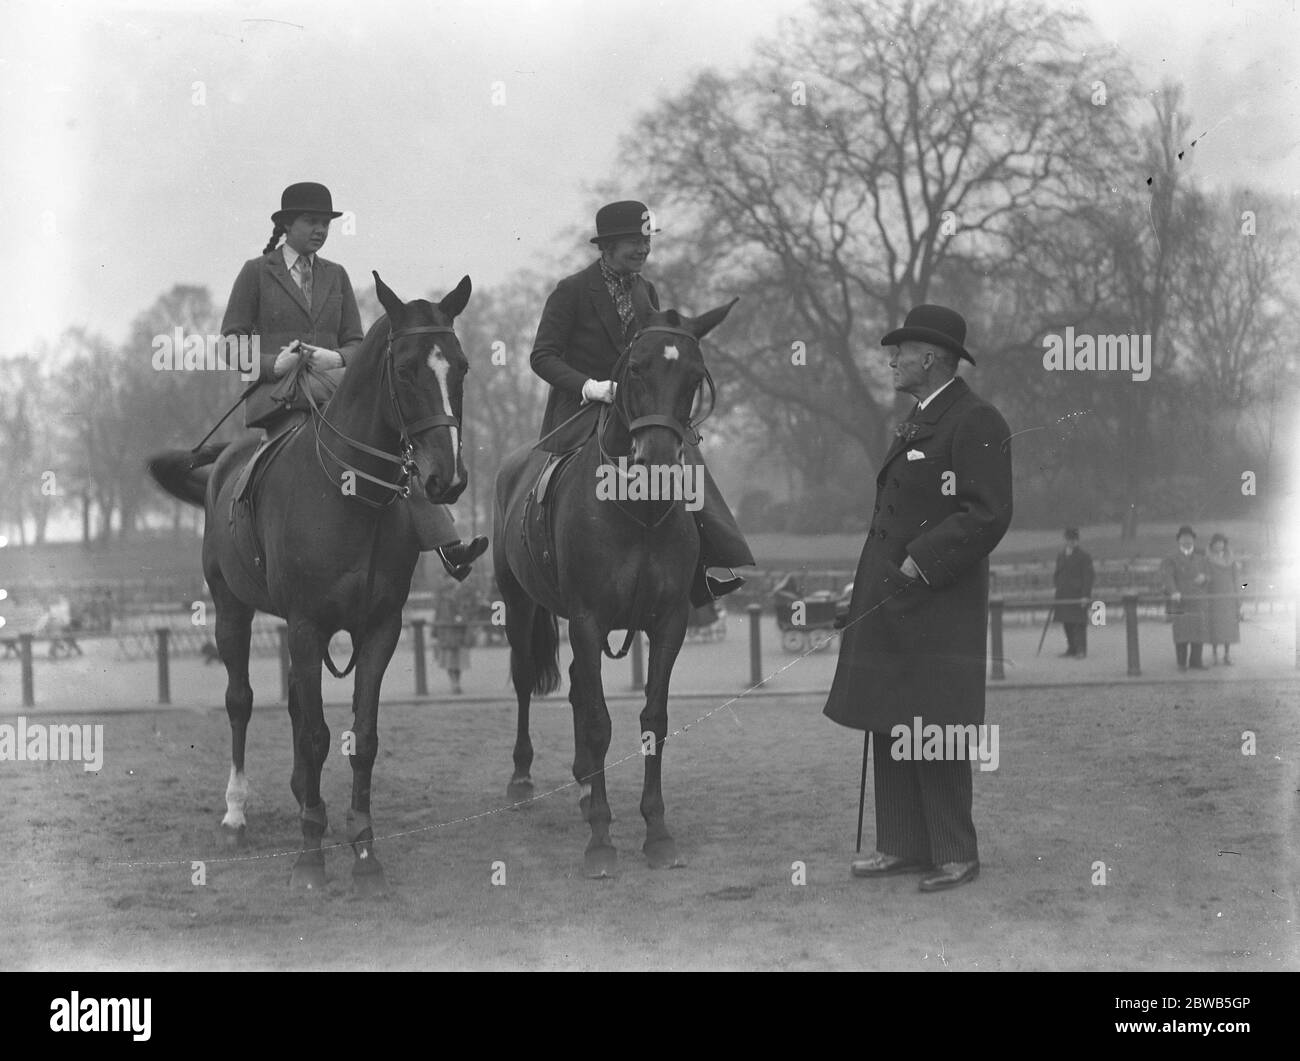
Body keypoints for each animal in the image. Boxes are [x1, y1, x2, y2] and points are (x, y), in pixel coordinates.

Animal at [148, 273, 473, 894]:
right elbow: (318, 734)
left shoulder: (380, 628)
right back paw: (237, 812)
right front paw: (311, 856)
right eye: (405, 370)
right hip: (231, 609)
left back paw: (304, 798)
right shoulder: (304, 624)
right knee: (242, 701)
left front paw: (363, 849)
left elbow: (361, 735)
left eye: (462, 368)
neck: (351, 493)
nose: (447, 479)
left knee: (298, 704)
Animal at [488, 292, 733, 878]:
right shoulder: (586, 618)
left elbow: (652, 718)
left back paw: (582, 784)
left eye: (694, 376)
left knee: (579, 683)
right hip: (521, 604)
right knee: (528, 680)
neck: (635, 508)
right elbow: (600, 721)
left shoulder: (669, 622)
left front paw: (657, 831)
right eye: (636, 368)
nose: (660, 459)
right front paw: (601, 840)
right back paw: (523, 778)